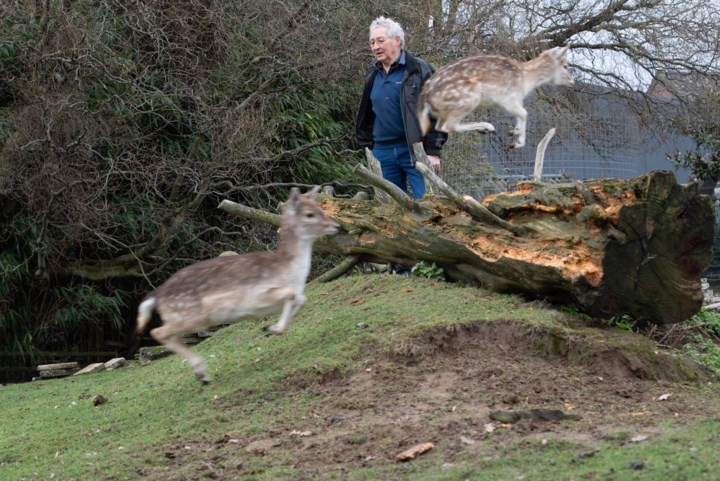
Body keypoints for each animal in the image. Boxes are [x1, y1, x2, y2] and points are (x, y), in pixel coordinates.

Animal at [137, 186, 340, 384]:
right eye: (309, 214)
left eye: (320, 208)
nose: (336, 226)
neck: (289, 272)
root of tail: (157, 295)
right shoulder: (255, 297)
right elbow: (290, 294)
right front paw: (272, 328)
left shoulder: (293, 294)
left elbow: (301, 299)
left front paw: (272, 329)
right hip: (192, 316)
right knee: (158, 332)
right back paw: (202, 373)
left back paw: (201, 373)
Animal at [416, 47, 572, 149]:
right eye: (565, 66)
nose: (573, 81)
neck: (526, 80)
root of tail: (425, 98)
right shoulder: (508, 98)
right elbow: (524, 113)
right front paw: (517, 143)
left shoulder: (515, 101)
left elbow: (520, 114)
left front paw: (514, 132)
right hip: (468, 98)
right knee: (450, 125)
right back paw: (488, 127)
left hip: (444, 111)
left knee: (440, 126)